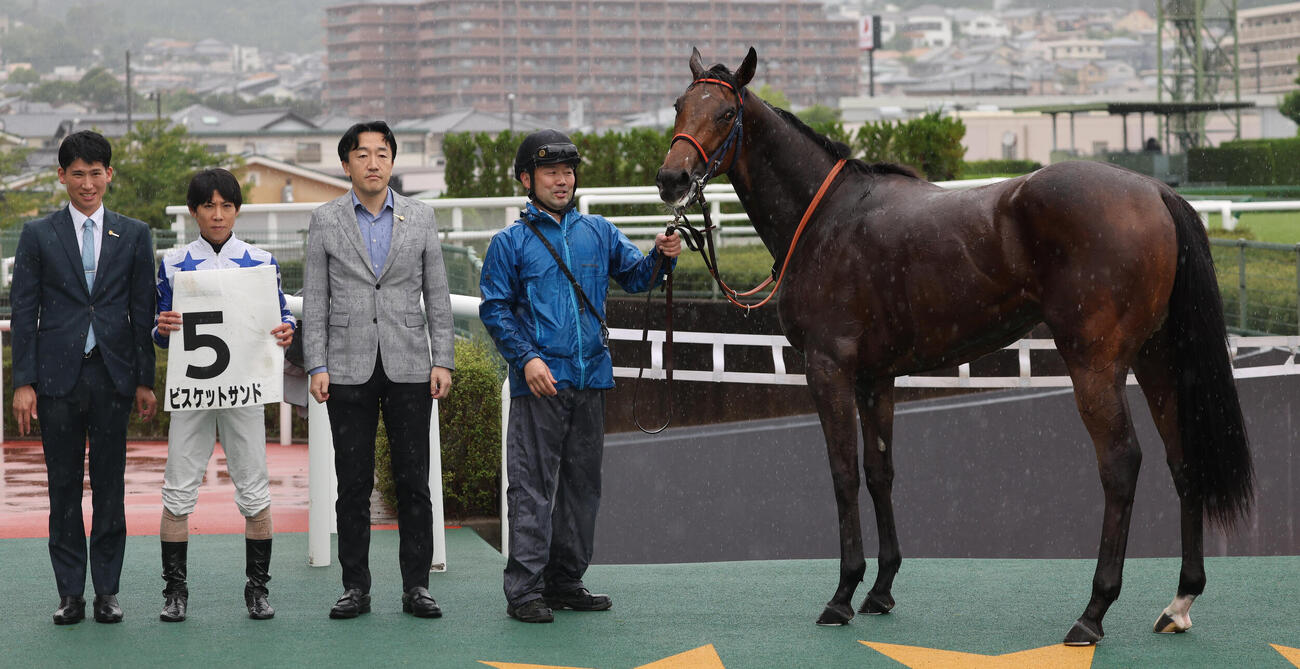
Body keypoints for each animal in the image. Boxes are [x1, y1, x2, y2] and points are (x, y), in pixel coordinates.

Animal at [655, 48, 1254, 646]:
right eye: (680, 104)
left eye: (726, 114)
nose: (670, 178)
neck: (827, 218)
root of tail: (1155, 192)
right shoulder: (876, 377)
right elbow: (879, 471)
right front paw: (880, 589)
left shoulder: (829, 368)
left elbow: (843, 473)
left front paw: (843, 594)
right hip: (1159, 360)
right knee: (1183, 460)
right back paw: (1179, 601)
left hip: (1095, 363)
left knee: (1121, 463)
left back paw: (1093, 610)